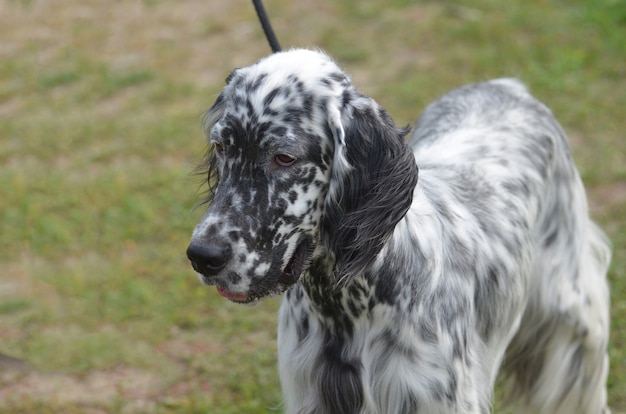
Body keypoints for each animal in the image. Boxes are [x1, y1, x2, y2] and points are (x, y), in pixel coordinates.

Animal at [185, 49, 608, 414]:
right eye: (221, 147)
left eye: (284, 157)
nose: (202, 257)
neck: (348, 309)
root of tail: (507, 87)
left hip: (576, 327)